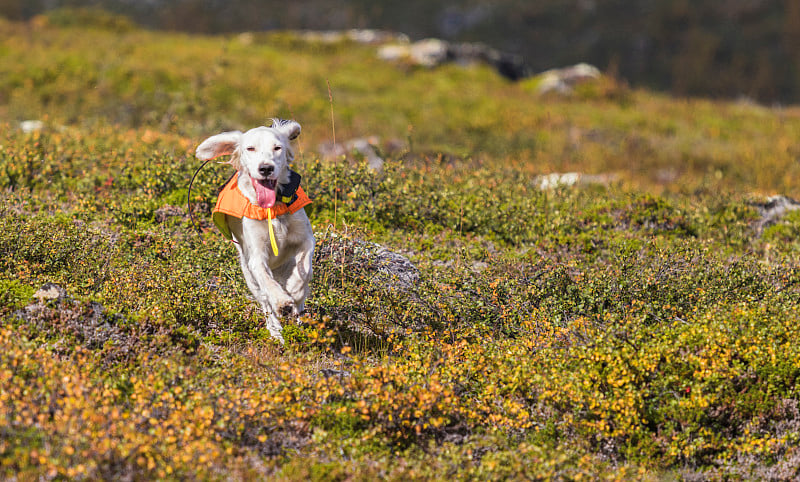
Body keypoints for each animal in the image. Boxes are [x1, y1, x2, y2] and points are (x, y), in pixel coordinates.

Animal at [195, 119, 314, 342]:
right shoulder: (256, 257)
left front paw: (294, 289)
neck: (272, 208)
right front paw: (282, 302)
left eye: (277, 147)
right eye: (250, 148)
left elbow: (304, 268)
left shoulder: (306, 238)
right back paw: (276, 332)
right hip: (248, 273)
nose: (265, 168)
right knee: (265, 303)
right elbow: (267, 282)